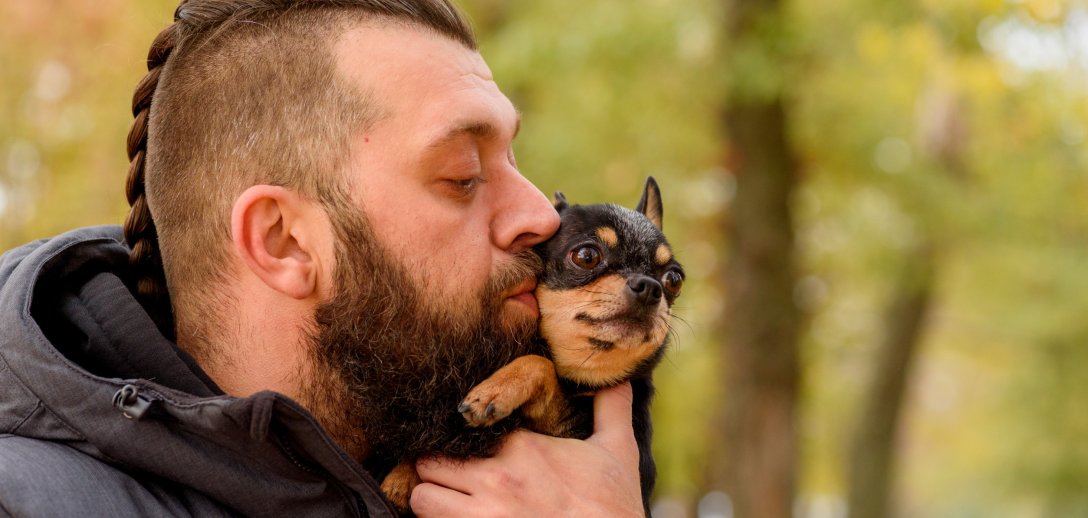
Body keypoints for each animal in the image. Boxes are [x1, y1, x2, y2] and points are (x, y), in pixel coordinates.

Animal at [387, 177, 683, 513]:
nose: (650, 287)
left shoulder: (570, 430)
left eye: (674, 279)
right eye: (587, 257)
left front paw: (497, 389)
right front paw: (402, 474)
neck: (582, 381)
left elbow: (541, 364)